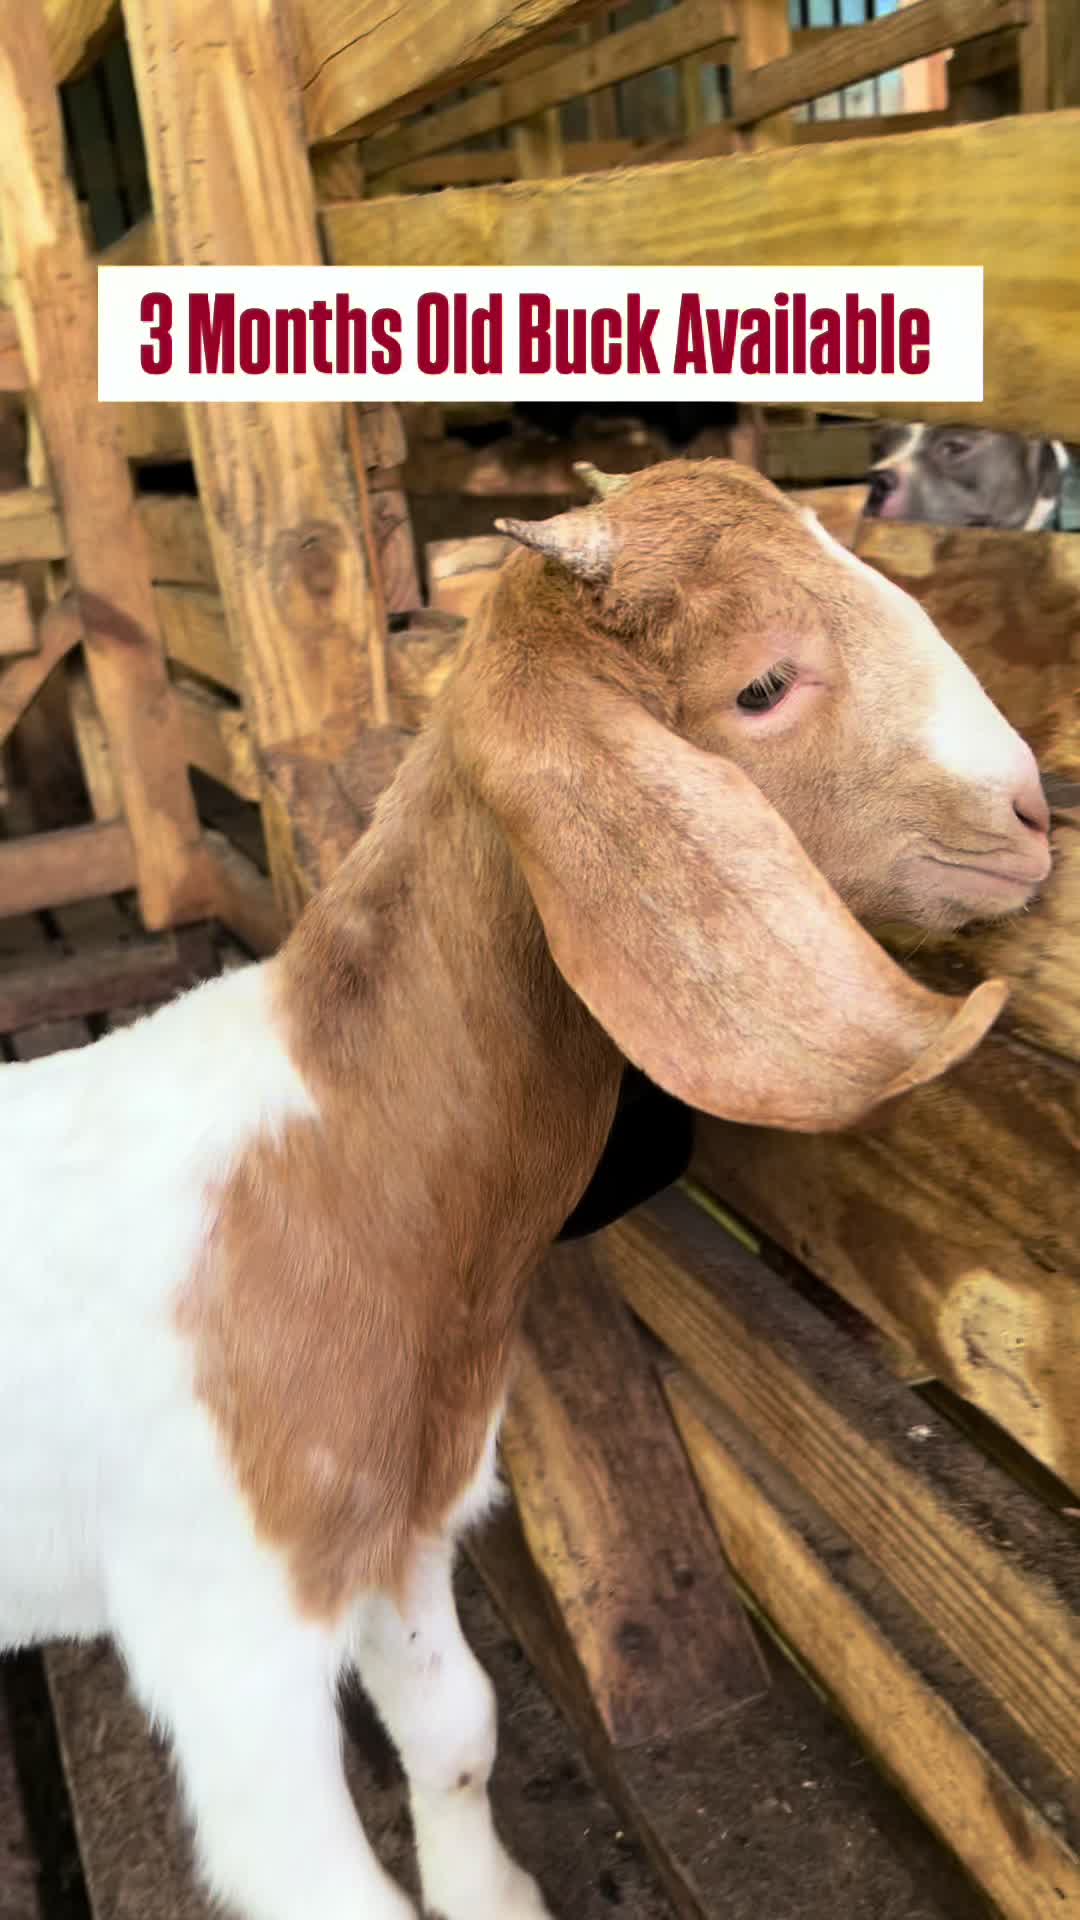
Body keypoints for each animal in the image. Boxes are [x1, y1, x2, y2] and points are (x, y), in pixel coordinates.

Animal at [0, 459, 1052, 1920]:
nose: (1034, 815)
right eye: (763, 685)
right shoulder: (227, 1634)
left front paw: (490, 1894)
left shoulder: (404, 1530)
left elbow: (458, 1729)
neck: (332, 1161)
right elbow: (313, 1879)